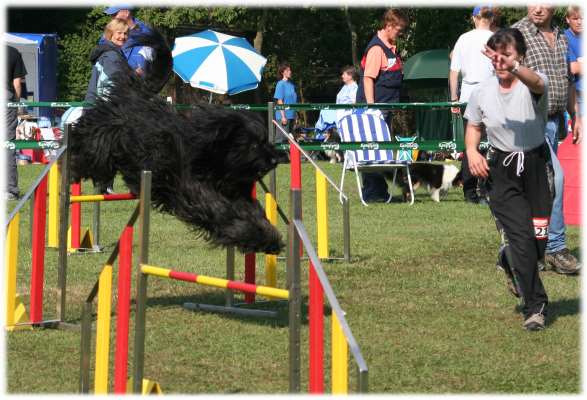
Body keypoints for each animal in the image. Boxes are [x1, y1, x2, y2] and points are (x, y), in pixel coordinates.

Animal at [69, 28, 284, 253]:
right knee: (86, 150)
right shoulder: (192, 188)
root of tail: (135, 92)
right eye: (253, 144)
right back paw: (73, 165)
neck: (211, 155)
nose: (274, 159)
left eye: (264, 140)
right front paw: (246, 234)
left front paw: (267, 238)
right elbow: (221, 211)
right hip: (101, 138)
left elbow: (250, 212)